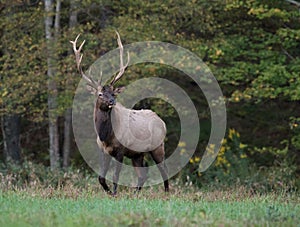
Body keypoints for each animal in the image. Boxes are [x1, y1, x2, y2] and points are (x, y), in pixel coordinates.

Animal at [70, 32, 169, 195]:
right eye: (100, 94)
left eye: (113, 93)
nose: (112, 101)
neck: (106, 135)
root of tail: (163, 122)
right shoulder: (104, 151)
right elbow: (101, 177)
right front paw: (109, 192)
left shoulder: (121, 150)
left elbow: (116, 176)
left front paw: (115, 193)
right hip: (137, 154)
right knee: (143, 174)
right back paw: (136, 193)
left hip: (158, 146)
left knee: (164, 169)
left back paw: (167, 193)